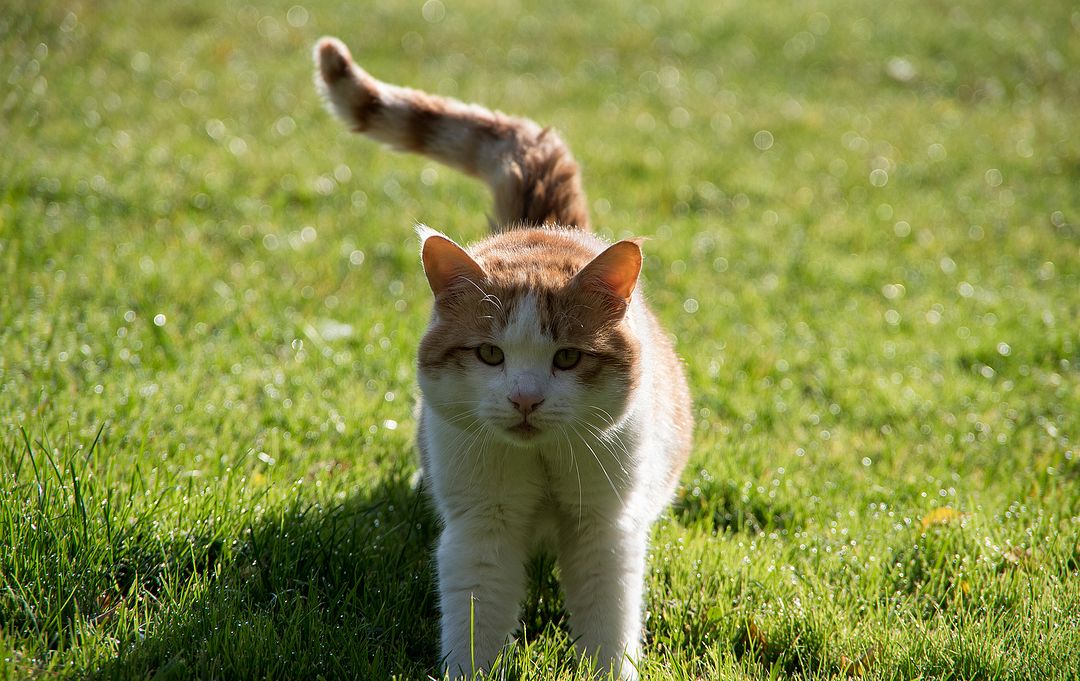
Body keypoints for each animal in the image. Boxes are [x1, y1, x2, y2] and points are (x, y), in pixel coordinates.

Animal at [313, 38, 691, 681]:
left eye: (568, 358)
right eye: (490, 354)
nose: (525, 399)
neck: (539, 458)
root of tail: (546, 224)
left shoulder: (604, 529)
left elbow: (606, 622)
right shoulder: (481, 527)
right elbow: (476, 616)